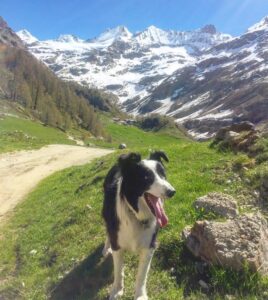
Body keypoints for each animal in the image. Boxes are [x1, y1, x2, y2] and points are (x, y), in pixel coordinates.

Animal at [101, 151, 175, 298]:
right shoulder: (117, 243)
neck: (136, 215)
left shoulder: (149, 245)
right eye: (147, 178)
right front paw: (117, 290)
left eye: (163, 175)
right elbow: (118, 271)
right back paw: (106, 248)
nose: (172, 192)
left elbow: (142, 275)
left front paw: (140, 296)